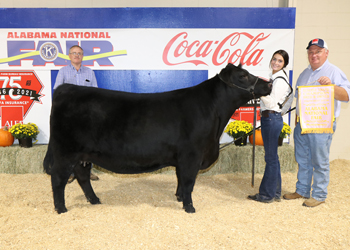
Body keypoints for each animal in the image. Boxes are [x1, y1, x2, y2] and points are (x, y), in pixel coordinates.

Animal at [43, 63, 272, 214]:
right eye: (243, 75)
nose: (269, 85)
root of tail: (66, 88)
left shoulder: (183, 157)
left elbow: (180, 179)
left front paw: (179, 198)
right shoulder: (191, 155)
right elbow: (188, 181)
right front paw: (189, 207)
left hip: (83, 155)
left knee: (82, 177)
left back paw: (95, 200)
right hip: (66, 152)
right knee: (58, 179)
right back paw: (61, 208)